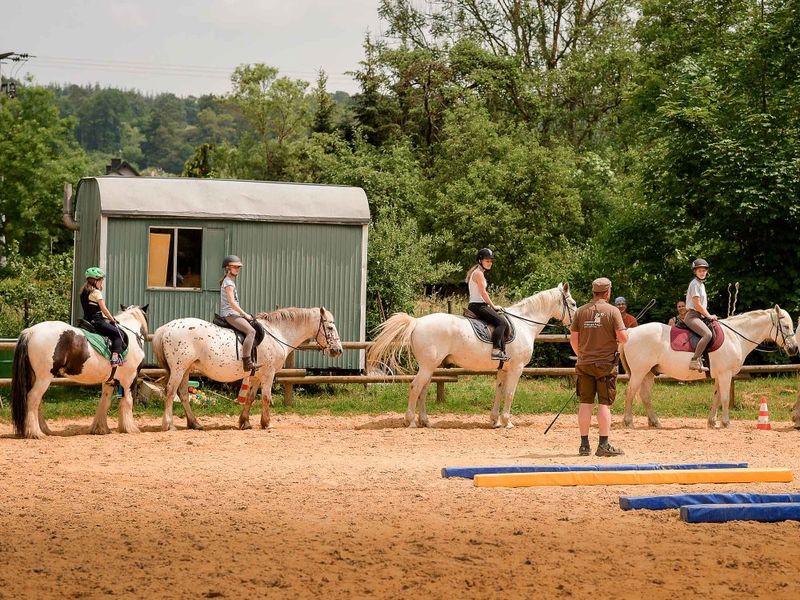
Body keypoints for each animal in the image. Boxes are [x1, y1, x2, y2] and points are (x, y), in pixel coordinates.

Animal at [10, 304, 148, 440]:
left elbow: (105, 401)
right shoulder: (129, 379)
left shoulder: (110, 381)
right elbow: (127, 401)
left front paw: (101, 428)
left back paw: (44, 430)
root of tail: (30, 331)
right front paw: (130, 428)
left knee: (38, 402)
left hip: (35, 378)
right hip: (44, 378)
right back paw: (35, 432)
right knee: (33, 398)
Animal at [152, 310, 342, 432]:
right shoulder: (268, 374)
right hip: (178, 369)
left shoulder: (257, 375)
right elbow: (266, 397)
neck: (277, 333)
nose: (338, 350)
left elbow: (250, 398)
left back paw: (195, 424)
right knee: (170, 392)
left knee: (183, 394)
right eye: (330, 328)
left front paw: (245, 422)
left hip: (185, 370)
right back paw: (168, 425)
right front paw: (266, 423)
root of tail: (166, 328)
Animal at [368, 284, 576, 428]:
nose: (574, 325)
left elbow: (499, 392)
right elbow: (510, 393)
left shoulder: (504, 369)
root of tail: (417, 322)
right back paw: (410, 421)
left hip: (430, 366)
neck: (524, 324)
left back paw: (425, 421)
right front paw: (507, 422)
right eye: (573, 304)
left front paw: (495, 421)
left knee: (423, 389)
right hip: (427, 366)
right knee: (415, 387)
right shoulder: (516, 368)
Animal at [620, 308, 796, 428]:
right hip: (639, 372)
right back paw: (628, 422)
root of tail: (630, 331)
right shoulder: (725, 374)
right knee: (630, 392)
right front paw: (726, 423)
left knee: (645, 396)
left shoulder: (719, 375)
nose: (794, 349)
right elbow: (724, 398)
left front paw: (712, 422)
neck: (735, 336)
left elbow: (716, 397)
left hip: (649, 373)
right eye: (786, 326)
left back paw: (655, 422)